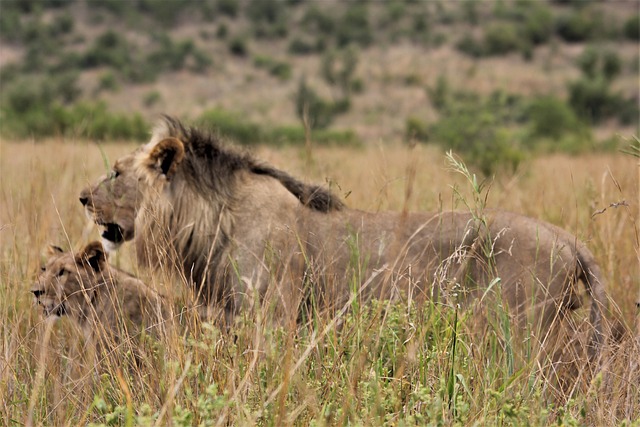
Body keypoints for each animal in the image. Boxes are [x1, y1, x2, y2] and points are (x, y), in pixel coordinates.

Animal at [80, 115, 608, 356]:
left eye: (116, 172)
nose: (83, 197)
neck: (213, 219)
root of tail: (569, 239)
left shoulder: (272, 317)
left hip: (519, 330)